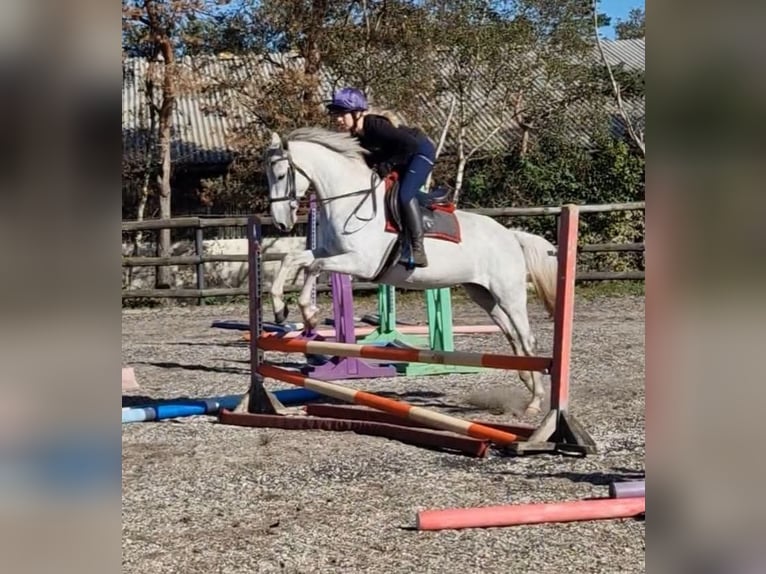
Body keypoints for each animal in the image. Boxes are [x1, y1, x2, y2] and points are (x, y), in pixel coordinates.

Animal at [263, 127, 559, 415]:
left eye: (281, 174)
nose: (281, 224)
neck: (350, 201)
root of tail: (512, 236)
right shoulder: (329, 251)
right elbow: (292, 258)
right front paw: (280, 309)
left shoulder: (360, 262)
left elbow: (314, 266)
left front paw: (309, 314)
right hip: (483, 295)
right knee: (512, 335)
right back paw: (526, 381)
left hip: (509, 294)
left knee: (527, 337)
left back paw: (535, 402)